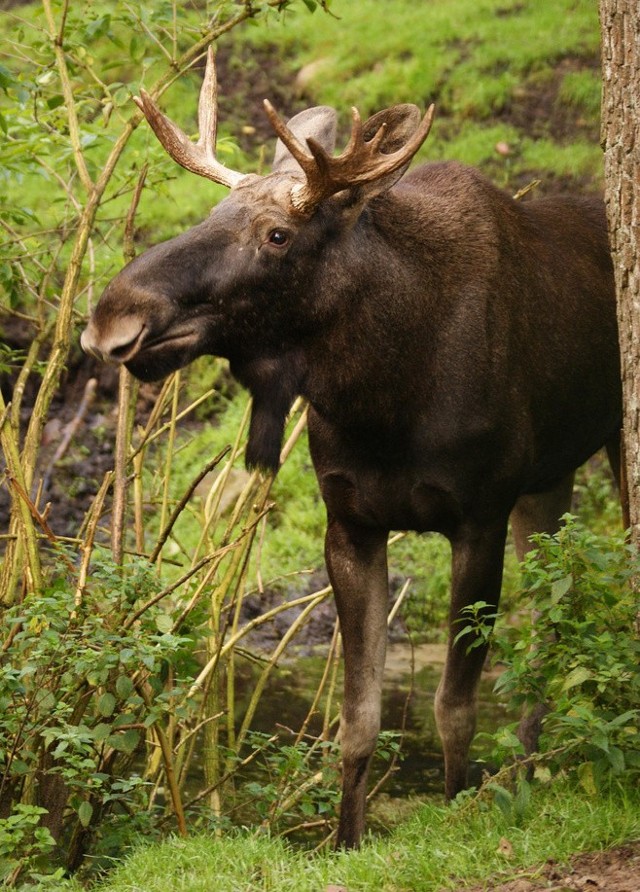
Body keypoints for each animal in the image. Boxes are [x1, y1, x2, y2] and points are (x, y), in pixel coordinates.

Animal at [82, 50, 624, 852]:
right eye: (210, 216)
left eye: (278, 235)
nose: (111, 319)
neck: (385, 397)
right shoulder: (350, 521)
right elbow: (357, 717)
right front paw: (345, 840)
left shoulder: (478, 516)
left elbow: (452, 705)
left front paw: (458, 811)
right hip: (546, 483)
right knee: (551, 621)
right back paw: (533, 767)